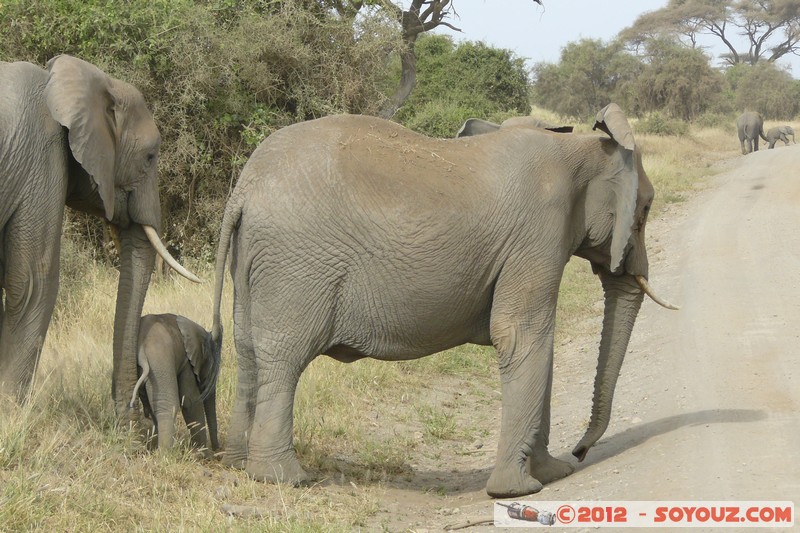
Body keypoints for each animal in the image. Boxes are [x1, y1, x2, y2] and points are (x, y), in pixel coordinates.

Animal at [130, 314, 222, 456]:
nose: (217, 451)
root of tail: (141, 351)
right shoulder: (187, 363)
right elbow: (190, 401)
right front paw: (203, 455)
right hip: (160, 360)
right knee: (168, 404)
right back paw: (165, 454)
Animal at [211, 104, 676, 498]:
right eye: (646, 210)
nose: (580, 452)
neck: (578, 146)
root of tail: (245, 189)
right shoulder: (539, 232)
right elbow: (523, 336)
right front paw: (518, 491)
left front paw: (552, 474)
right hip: (297, 264)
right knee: (284, 357)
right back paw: (282, 479)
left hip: (253, 258)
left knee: (248, 349)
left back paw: (237, 465)